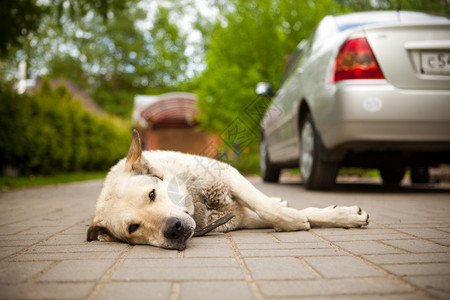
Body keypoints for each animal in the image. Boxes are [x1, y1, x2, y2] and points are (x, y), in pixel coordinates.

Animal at [87, 130, 370, 250]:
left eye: (152, 194)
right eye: (133, 228)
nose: (173, 229)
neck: (199, 201)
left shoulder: (230, 176)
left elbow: (269, 207)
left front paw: (299, 219)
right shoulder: (241, 218)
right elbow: (275, 212)